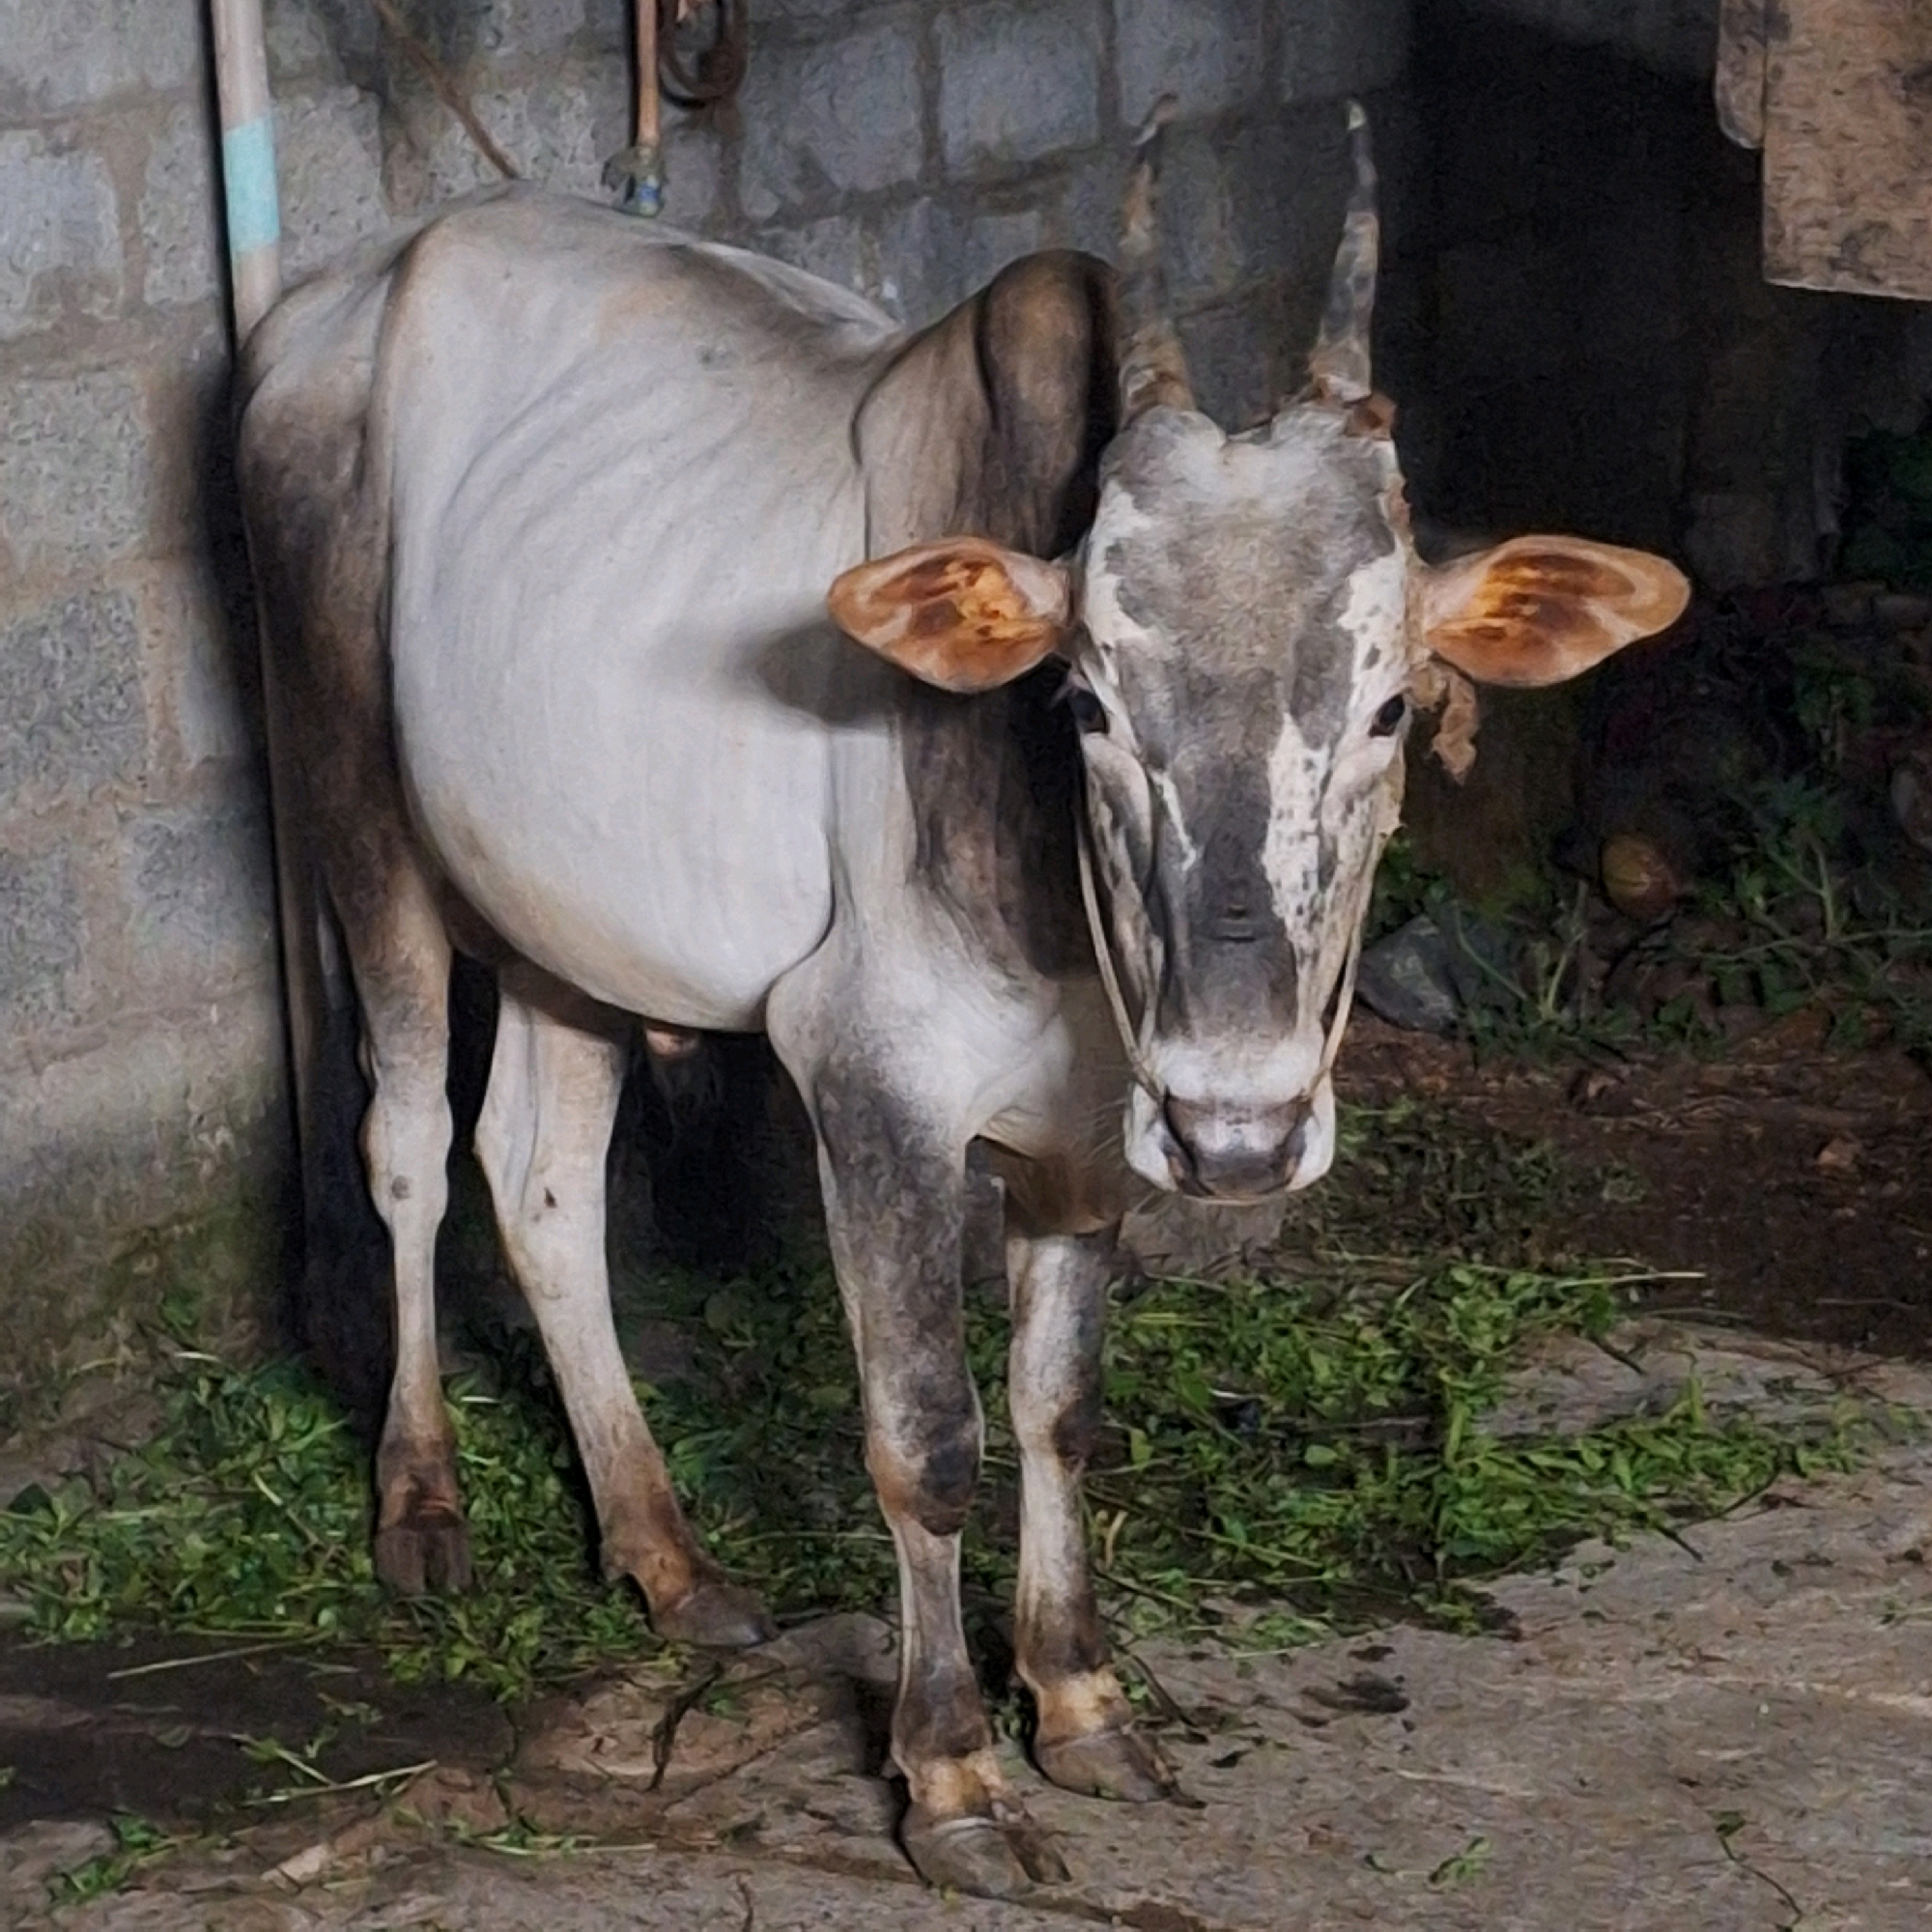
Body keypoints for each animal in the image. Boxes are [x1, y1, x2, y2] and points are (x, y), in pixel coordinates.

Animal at [234, 108, 1687, 1896]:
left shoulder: (1093, 1125)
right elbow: (926, 1436)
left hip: (563, 923)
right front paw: (949, 1773)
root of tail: (338, 296)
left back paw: (664, 1552)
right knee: (408, 1152)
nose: (1242, 1132)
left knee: (545, 1183)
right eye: (1086, 700)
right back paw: (423, 1503)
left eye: (1392, 707)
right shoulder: (869, 1079)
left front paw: (1078, 1702)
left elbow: (1060, 1411)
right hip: (353, 803)